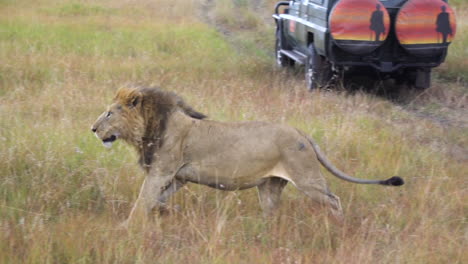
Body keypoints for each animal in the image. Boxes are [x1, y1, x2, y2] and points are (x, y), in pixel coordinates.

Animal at [91, 86, 402, 225]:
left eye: (109, 113)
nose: (93, 129)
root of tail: (301, 132)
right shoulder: (178, 177)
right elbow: (157, 200)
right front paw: (163, 214)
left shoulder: (162, 171)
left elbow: (143, 200)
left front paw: (127, 226)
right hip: (271, 185)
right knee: (273, 210)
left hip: (307, 178)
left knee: (334, 199)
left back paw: (339, 227)